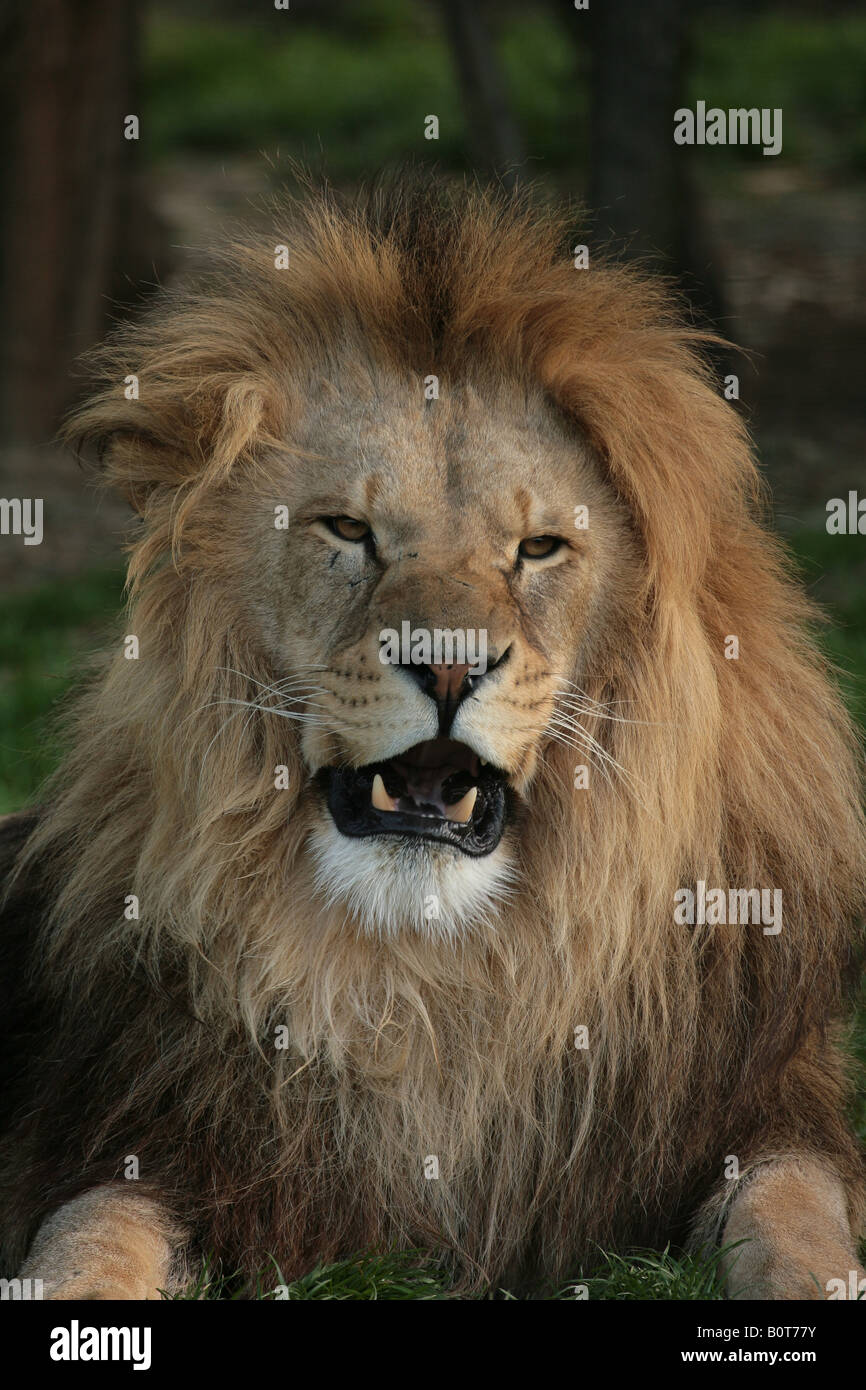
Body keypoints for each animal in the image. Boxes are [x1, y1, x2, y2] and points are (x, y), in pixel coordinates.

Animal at [1, 180, 864, 1301]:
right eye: (346, 531)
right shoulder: (140, 1137)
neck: (427, 975)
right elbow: (90, 1237)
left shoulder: (759, 1112)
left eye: (538, 547)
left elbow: (796, 1210)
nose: (448, 667)